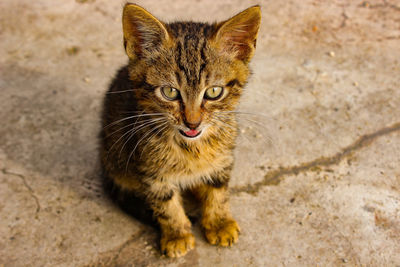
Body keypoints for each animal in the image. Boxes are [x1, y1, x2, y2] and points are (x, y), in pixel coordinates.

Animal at [101, 3, 260, 258]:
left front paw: (219, 222)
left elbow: (218, 190)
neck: (192, 147)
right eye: (170, 92)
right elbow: (166, 205)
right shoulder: (152, 173)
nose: (192, 123)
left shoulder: (223, 159)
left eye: (214, 92)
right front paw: (177, 234)